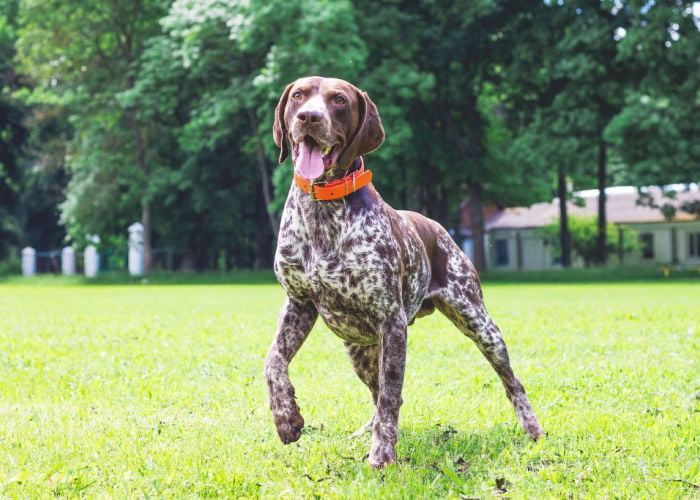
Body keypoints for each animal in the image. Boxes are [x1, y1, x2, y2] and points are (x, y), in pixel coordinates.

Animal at [266, 76, 544, 466]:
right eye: (298, 95)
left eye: (339, 100)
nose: (309, 117)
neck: (323, 208)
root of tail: (437, 226)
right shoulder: (299, 304)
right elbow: (273, 362)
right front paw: (286, 417)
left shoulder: (392, 322)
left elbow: (389, 398)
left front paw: (382, 456)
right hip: (359, 348)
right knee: (377, 392)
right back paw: (364, 431)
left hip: (479, 324)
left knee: (511, 383)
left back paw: (532, 428)